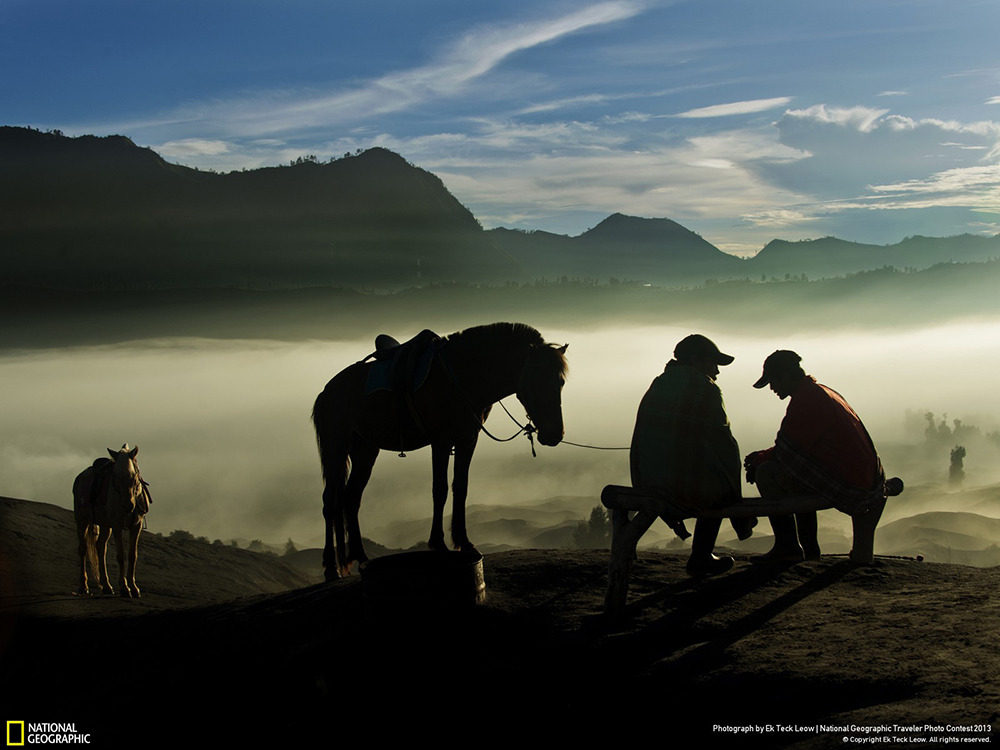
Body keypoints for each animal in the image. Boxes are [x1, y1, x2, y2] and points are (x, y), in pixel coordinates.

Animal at [73, 446, 146, 600]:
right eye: (115, 478)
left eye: (134, 477)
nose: (128, 505)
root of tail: (80, 476)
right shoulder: (117, 525)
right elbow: (121, 556)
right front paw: (124, 588)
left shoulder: (136, 525)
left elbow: (132, 555)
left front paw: (134, 588)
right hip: (82, 520)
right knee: (82, 549)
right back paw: (83, 586)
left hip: (105, 525)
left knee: (100, 548)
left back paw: (106, 586)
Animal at [312, 324, 568, 580]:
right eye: (535, 379)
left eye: (561, 382)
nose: (554, 434)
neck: (463, 376)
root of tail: (326, 391)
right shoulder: (441, 442)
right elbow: (440, 490)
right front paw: (439, 544)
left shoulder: (467, 441)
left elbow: (461, 488)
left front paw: (464, 542)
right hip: (335, 448)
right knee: (330, 501)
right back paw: (331, 567)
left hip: (364, 451)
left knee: (351, 498)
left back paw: (360, 557)